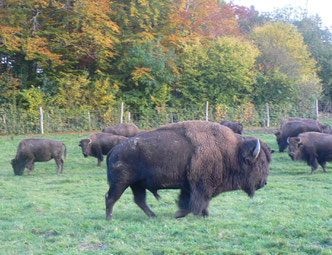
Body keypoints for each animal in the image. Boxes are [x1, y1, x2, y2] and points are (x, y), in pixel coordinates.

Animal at [104, 120, 272, 220]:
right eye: (261, 163)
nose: (264, 183)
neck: (231, 152)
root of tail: (114, 150)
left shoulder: (190, 187)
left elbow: (195, 201)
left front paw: (204, 214)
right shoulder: (200, 186)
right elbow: (196, 202)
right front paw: (181, 214)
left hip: (137, 184)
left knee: (139, 200)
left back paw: (153, 216)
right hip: (121, 183)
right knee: (111, 198)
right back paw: (110, 218)